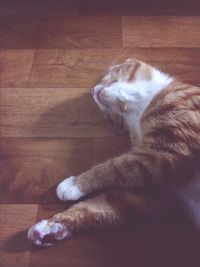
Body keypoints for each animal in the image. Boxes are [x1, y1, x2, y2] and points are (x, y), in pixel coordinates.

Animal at [27, 58, 200, 247]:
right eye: (109, 117)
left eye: (105, 77)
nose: (92, 90)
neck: (142, 106)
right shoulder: (158, 192)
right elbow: (97, 208)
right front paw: (52, 229)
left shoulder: (167, 154)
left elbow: (112, 168)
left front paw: (75, 185)